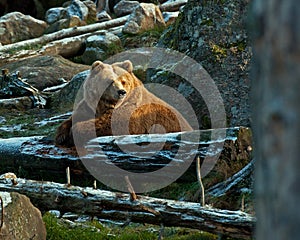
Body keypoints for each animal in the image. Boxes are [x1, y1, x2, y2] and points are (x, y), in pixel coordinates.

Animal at [55, 59, 192, 147]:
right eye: (110, 81)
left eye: (123, 81)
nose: (121, 92)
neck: (106, 104)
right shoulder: (89, 106)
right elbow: (75, 116)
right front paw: (61, 135)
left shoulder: (134, 110)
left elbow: (112, 123)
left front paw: (73, 133)